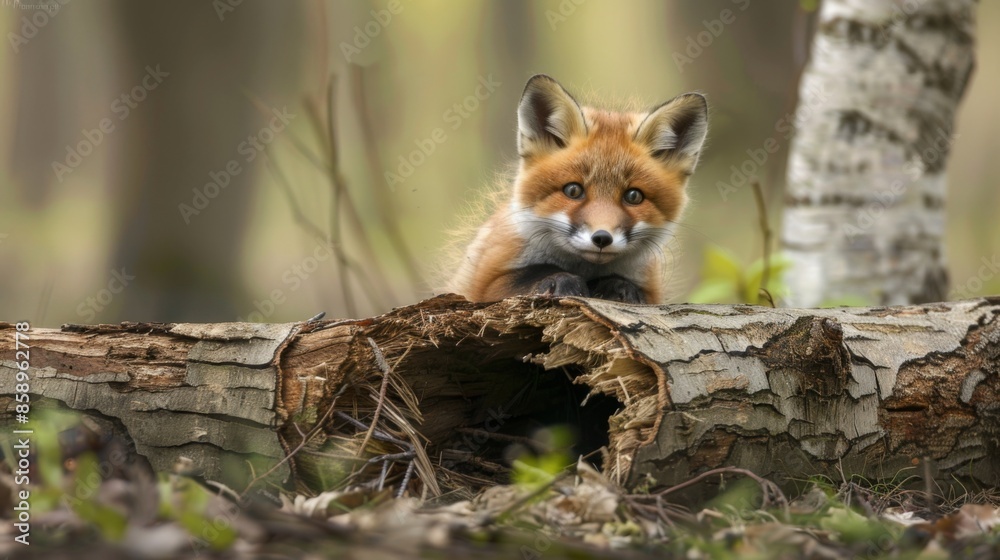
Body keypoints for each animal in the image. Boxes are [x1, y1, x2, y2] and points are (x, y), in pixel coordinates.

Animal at [450, 75, 708, 305]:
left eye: (634, 196)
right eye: (573, 191)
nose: (602, 238)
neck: (585, 268)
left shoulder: (651, 290)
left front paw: (617, 286)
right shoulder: (483, 282)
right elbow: (531, 274)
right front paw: (562, 280)